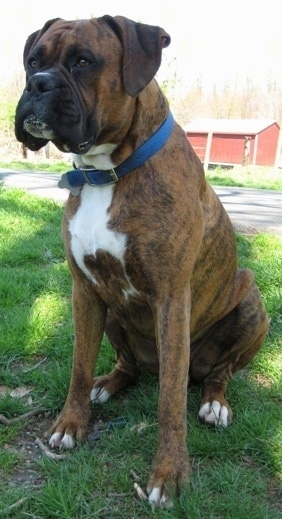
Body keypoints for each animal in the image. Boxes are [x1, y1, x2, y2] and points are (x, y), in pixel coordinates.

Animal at [14, 15, 268, 508]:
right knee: (127, 365)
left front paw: (168, 475)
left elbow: (170, 400)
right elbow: (78, 367)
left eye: (83, 61)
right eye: (33, 61)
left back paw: (215, 403)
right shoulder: (84, 291)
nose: (37, 83)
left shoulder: (171, 299)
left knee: (216, 373)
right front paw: (70, 425)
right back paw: (108, 384)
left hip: (251, 299)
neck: (105, 172)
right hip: (116, 314)